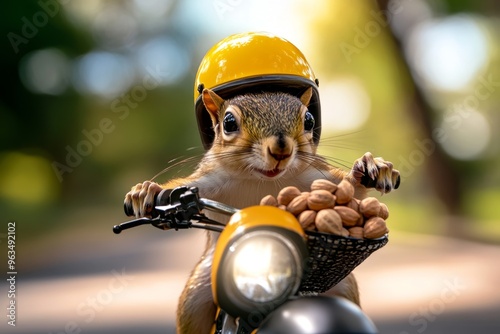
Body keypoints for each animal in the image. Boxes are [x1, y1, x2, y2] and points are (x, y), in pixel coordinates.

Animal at [126, 87, 402, 332]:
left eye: (309, 120)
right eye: (228, 123)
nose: (281, 150)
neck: (262, 179)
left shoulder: (317, 176)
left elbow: (351, 191)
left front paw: (372, 167)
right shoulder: (209, 181)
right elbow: (180, 187)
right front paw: (147, 191)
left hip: (343, 286)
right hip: (197, 296)